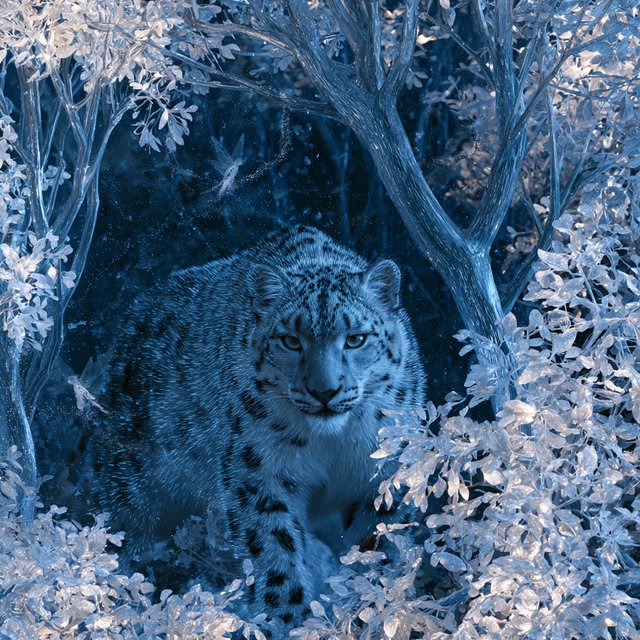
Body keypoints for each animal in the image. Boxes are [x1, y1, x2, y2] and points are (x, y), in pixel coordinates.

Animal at [86, 225, 426, 628]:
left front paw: (372, 601)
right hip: (130, 488)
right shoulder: (258, 472)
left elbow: (377, 539)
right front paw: (289, 617)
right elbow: (275, 544)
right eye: (291, 340)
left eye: (356, 338)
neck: (332, 446)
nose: (324, 391)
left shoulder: (385, 472)